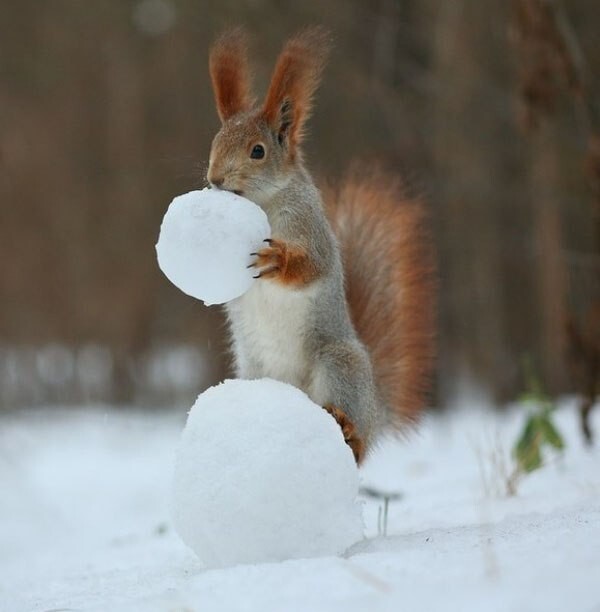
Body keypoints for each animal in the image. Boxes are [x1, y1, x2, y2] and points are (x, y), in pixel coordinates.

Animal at [206, 25, 436, 464]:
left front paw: (277, 260)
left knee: (356, 442)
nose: (214, 180)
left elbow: (313, 265)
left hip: (339, 365)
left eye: (258, 151)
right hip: (253, 371)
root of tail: (375, 409)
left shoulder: (310, 228)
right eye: (214, 141)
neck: (264, 202)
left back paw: (350, 432)